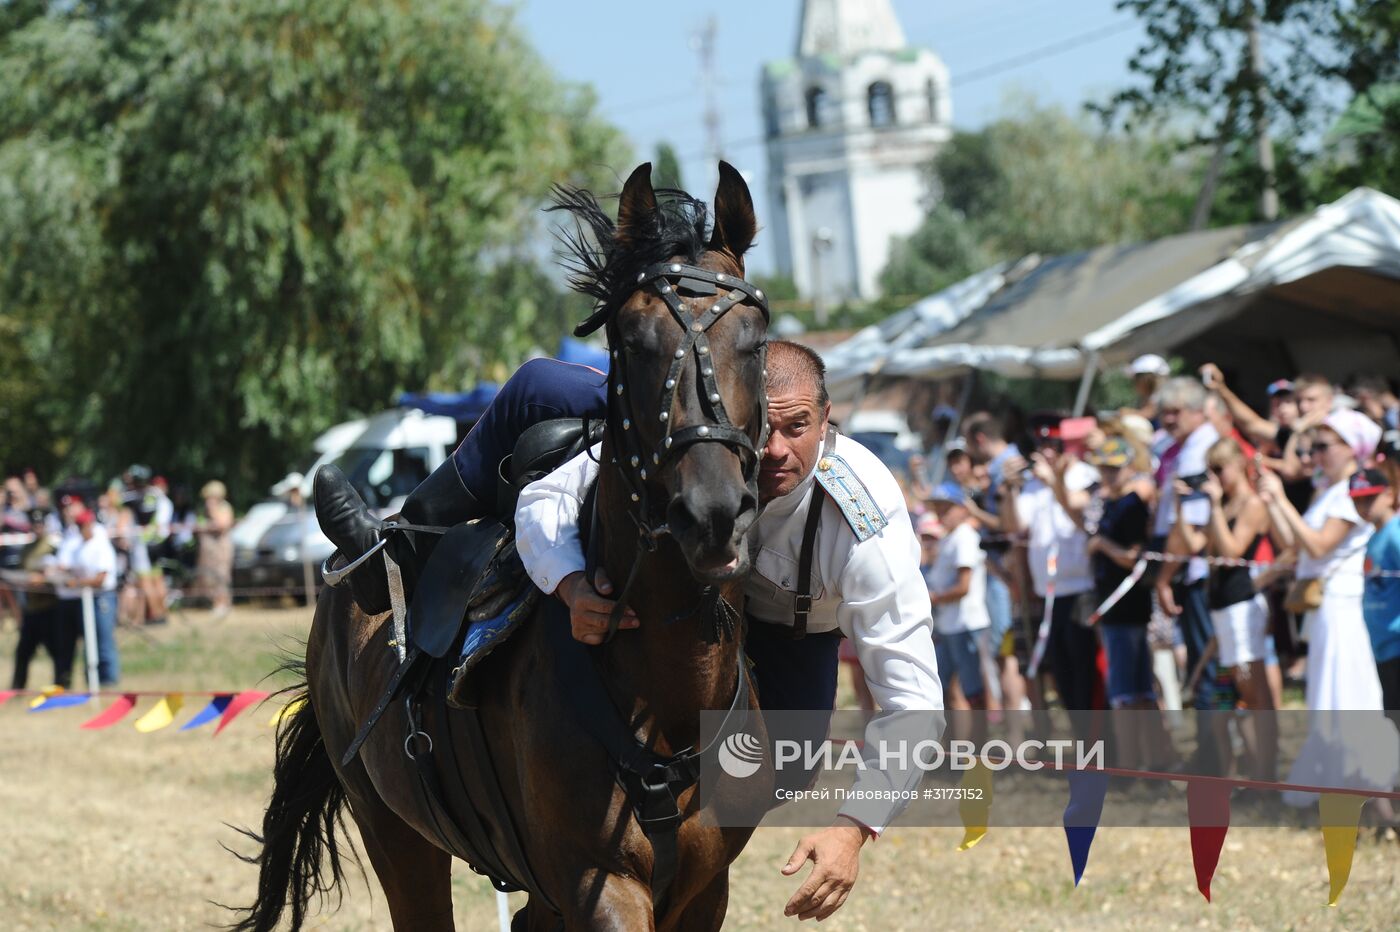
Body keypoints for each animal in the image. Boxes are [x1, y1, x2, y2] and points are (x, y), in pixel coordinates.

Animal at [232, 163, 778, 923]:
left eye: (755, 343)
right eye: (632, 342)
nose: (712, 511)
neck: (667, 707)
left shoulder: (703, 891)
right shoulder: (598, 884)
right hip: (396, 838)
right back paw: (363, 532)